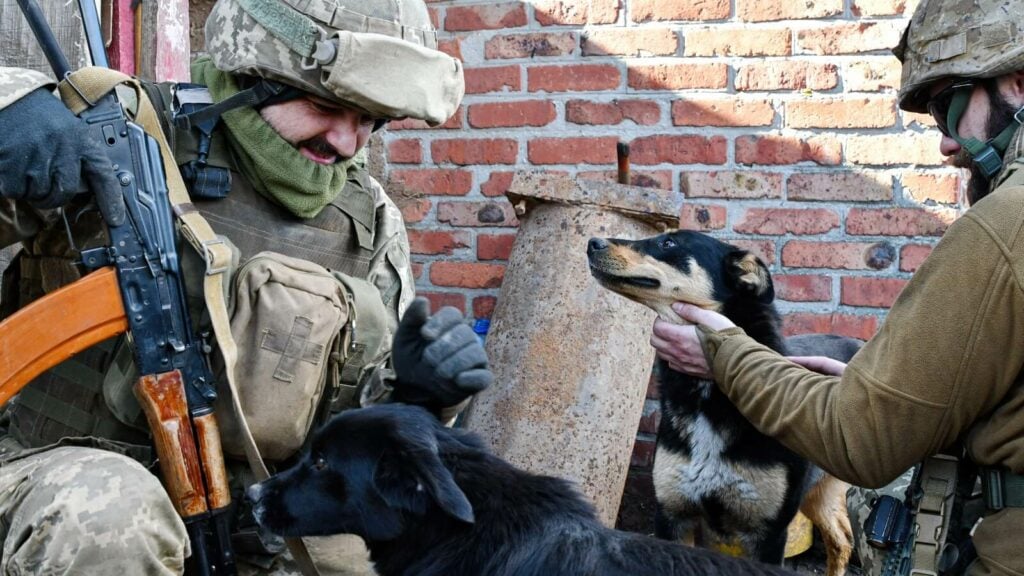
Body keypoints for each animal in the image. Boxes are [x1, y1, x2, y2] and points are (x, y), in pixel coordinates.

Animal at [585, 228, 856, 573]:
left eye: (668, 243)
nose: (592, 242)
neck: (708, 395)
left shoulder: (768, 532)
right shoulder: (673, 514)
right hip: (819, 493)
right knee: (841, 539)